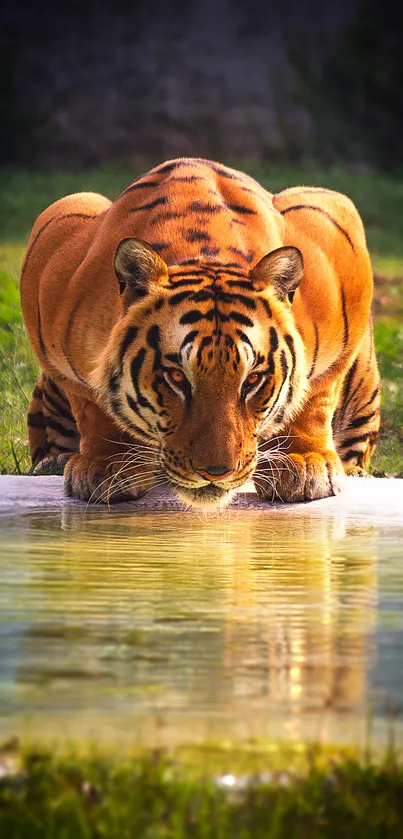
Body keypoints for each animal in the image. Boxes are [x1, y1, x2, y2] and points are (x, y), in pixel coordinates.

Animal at [20, 159, 382, 512]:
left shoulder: (336, 229)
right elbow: (92, 404)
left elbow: (315, 395)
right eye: (177, 377)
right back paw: (54, 462)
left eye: (253, 380)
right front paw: (107, 464)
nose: (216, 473)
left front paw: (303, 463)